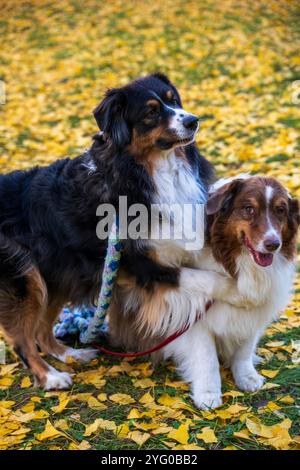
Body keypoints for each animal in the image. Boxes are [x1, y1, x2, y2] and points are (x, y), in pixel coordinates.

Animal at [109, 175, 298, 408]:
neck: (238, 262)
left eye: (280, 210)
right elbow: (207, 358)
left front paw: (247, 377)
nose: (273, 244)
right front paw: (207, 394)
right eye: (248, 209)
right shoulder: (193, 314)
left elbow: (245, 348)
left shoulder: (255, 311)